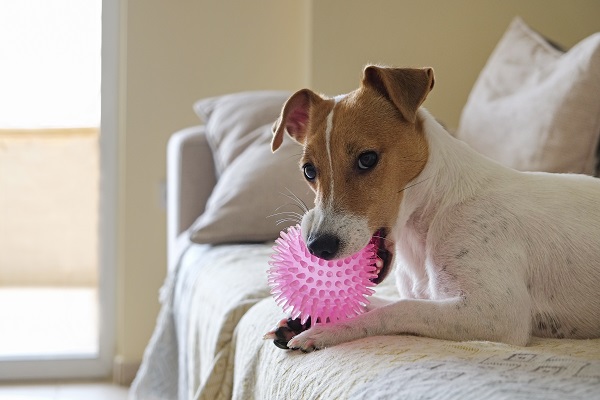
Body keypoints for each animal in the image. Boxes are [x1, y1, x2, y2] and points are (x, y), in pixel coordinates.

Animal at [264, 65, 600, 350]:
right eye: (309, 171)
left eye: (367, 158)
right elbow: (374, 302)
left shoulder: (496, 314)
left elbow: (399, 308)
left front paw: (325, 331)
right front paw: (306, 318)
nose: (317, 247)